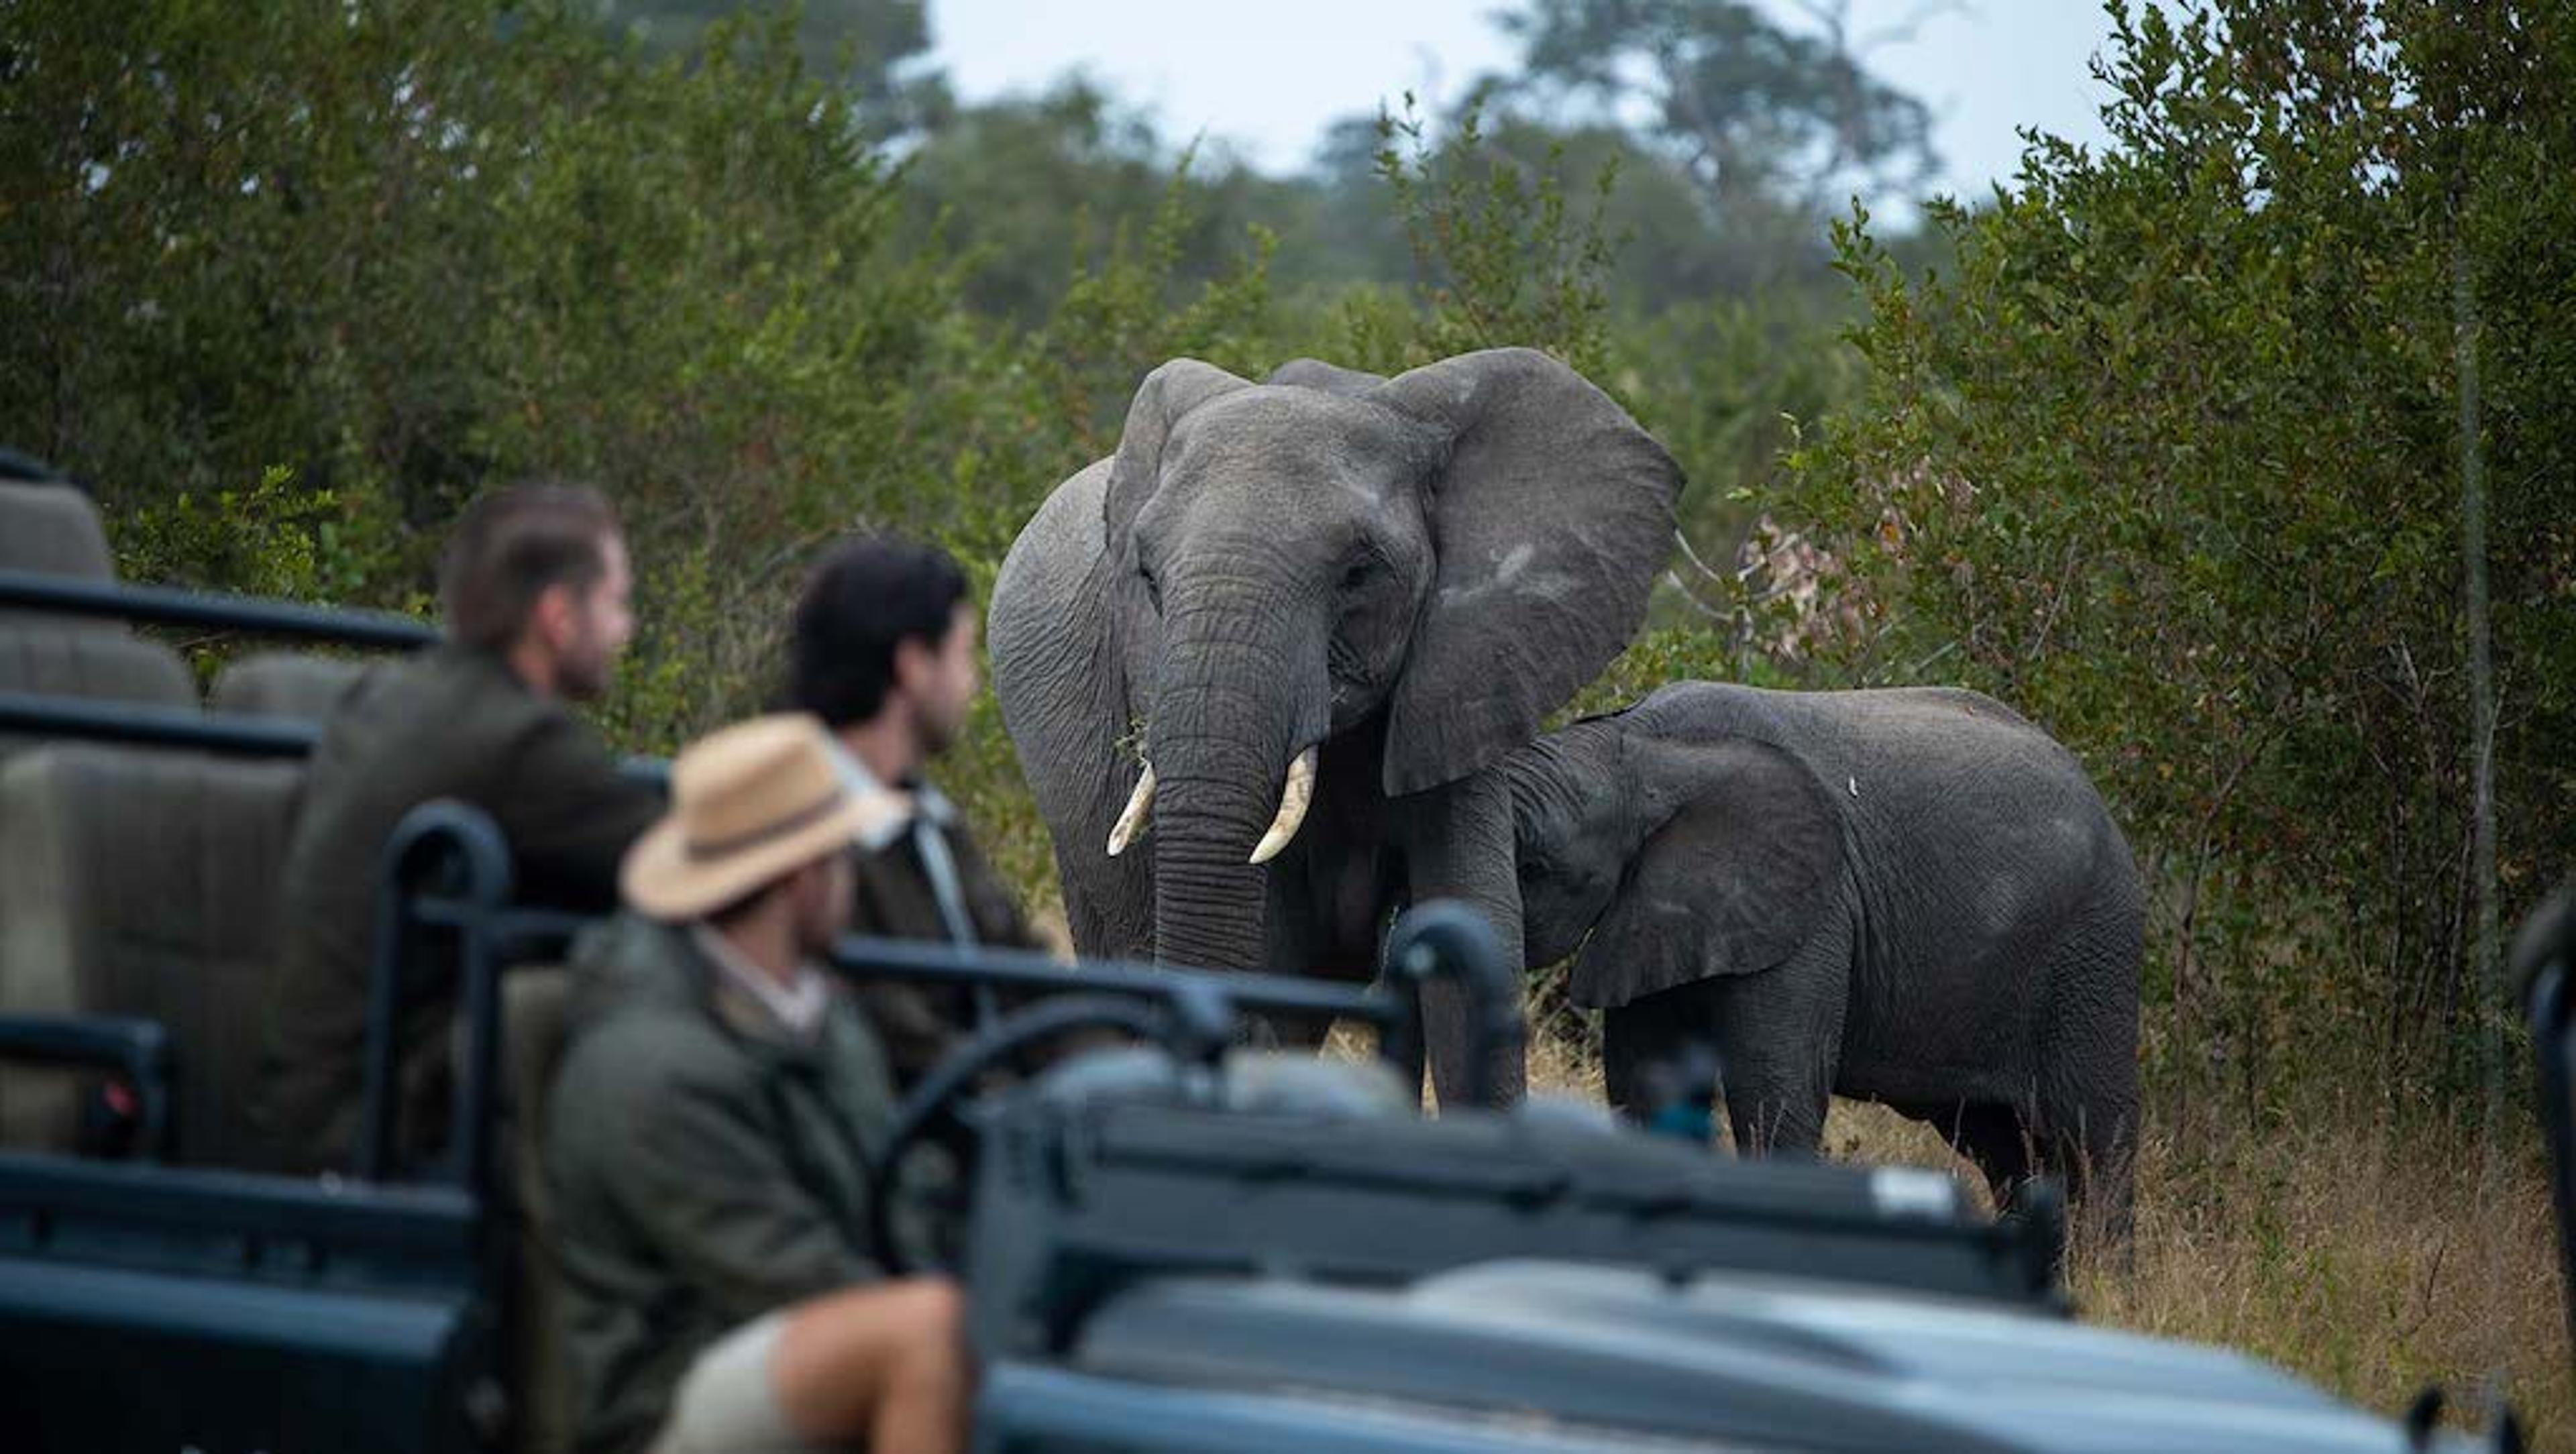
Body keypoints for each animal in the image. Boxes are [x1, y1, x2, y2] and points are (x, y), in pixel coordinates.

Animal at [1507, 680, 2142, 1225]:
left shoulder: (1815, 911)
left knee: (2093, 1138)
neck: (1639, 745)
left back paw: (2102, 1279)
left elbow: (1771, 1090)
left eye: (1534, 867)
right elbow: (1644, 1082)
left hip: (2094, 956)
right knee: (2001, 1146)